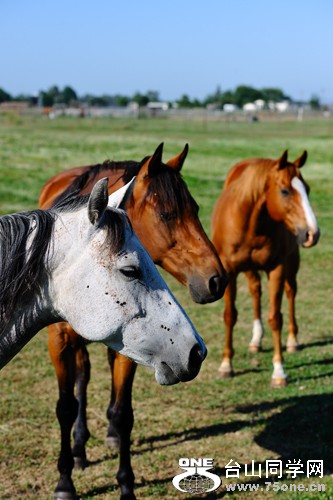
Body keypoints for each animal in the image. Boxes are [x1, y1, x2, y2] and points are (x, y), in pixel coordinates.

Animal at [37, 143, 227, 498]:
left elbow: (123, 412)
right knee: (82, 379)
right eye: (167, 214)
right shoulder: (60, 342)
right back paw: (79, 449)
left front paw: (126, 483)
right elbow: (66, 407)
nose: (216, 280)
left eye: (195, 209)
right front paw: (65, 481)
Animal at [211, 150, 318, 388]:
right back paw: (256, 340)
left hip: (292, 263)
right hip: (250, 269)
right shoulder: (229, 271)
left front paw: (279, 371)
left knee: (291, 293)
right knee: (255, 291)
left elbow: (275, 317)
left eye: (307, 189)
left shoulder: (277, 268)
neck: (251, 224)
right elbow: (230, 315)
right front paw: (226, 365)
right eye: (285, 191)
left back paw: (293, 341)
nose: (312, 233)